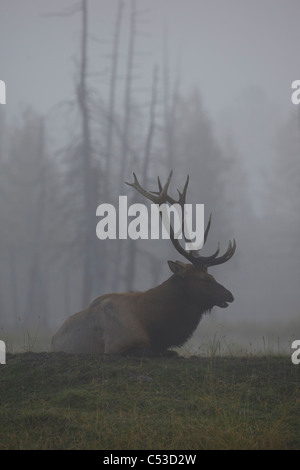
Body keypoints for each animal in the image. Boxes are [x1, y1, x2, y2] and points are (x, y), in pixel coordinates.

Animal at [51, 173, 236, 356]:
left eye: (212, 275)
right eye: (202, 279)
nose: (230, 295)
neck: (152, 326)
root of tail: (53, 339)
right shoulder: (115, 346)